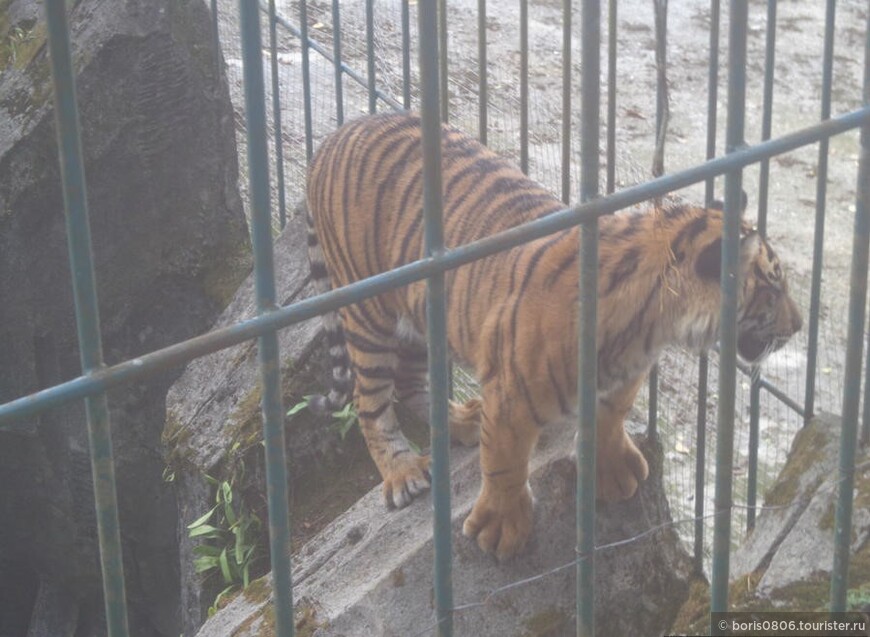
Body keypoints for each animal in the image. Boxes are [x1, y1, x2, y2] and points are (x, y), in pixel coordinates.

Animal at [304, 112, 804, 560]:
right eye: (774, 286)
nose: (799, 325)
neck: (652, 325)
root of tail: (335, 135)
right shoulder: (510, 393)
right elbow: (504, 461)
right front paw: (502, 529)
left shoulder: (626, 375)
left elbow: (610, 416)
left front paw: (615, 471)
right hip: (370, 314)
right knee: (369, 402)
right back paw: (403, 471)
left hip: (421, 316)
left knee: (409, 382)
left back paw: (463, 421)